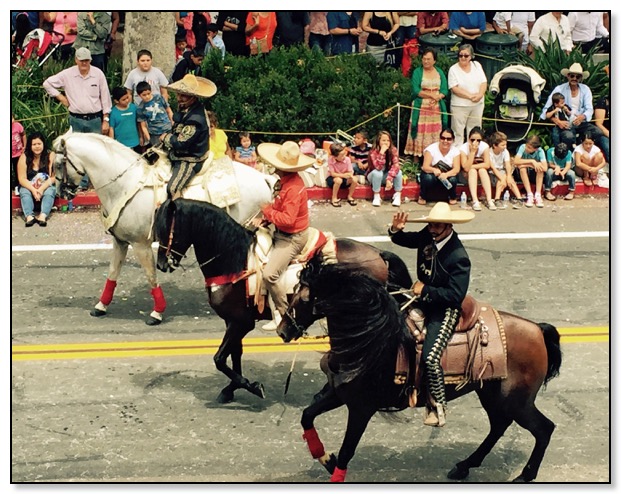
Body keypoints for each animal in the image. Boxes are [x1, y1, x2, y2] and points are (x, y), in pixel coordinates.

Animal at [53, 129, 276, 326]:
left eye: (57, 164)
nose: (62, 192)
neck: (125, 184)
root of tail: (264, 178)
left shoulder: (141, 245)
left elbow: (151, 277)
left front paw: (157, 313)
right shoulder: (120, 242)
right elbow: (112, 274)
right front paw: (100, 306)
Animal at [151, 199, 412, 404]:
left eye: (167, 230)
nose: (162, 265)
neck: (234, 262)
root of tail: (378, 254)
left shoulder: (241, 323)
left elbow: (219, 359)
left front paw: (252, 387)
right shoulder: (233, 321)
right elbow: (235, 355)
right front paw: (232, 389)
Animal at [278, 262, 564, 482]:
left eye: (304, 298)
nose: (283, 330)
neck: (369, 338)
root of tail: (538, 329)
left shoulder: (361, 407)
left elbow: (347, 450)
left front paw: (334, 466)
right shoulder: (338, 394)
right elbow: (307, 415)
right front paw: (325, 458)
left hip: (516, 400)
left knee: (543, 429)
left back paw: (524, 475)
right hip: (493, 394)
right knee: (499, 426)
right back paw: (464, 466)